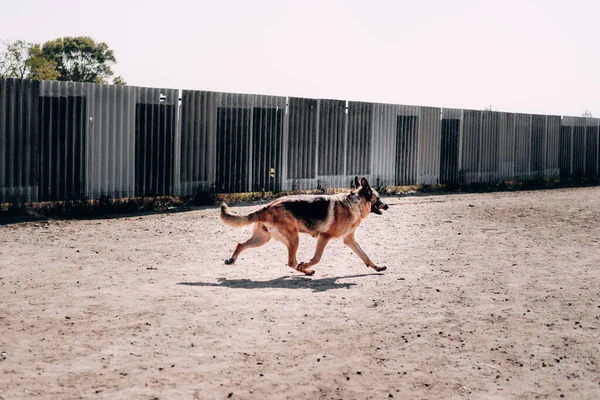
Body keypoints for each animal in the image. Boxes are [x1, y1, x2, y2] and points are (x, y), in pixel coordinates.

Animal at [220, 177, 390, 276]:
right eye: (378, 198)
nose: (387, 206)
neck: (354, 203)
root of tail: (268, 206)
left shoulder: (350, 241)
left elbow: (365, 256)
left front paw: (377, 267)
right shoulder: (324, 237)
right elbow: (317, 258)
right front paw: (307, 264)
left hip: (262, 239)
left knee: (241, 244)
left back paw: (231, 260)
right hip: (294, 239)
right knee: (292, 262)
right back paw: (305, 269)